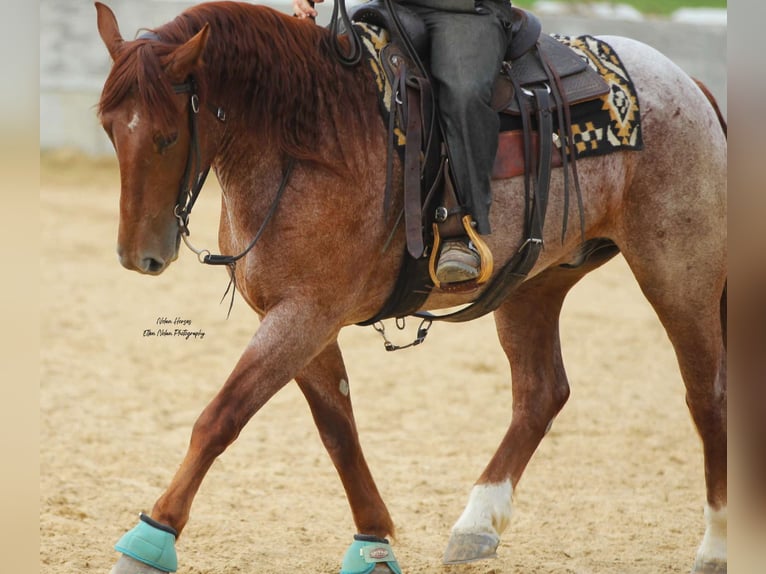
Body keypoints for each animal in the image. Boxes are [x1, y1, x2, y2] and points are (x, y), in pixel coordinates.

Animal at [94, 1, 728, 574]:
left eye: (167, 136)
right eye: (109, 128)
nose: (137, 255)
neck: (314, 138)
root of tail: (689, 85)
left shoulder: (303, 314)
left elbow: (221, 417)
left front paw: (151, 539)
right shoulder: (301, 319)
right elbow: (338, 429)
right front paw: (372, 543)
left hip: (679, 273)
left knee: (707, 396)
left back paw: (716, 546)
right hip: (535, 280)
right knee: (541, 393)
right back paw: (476, 526)